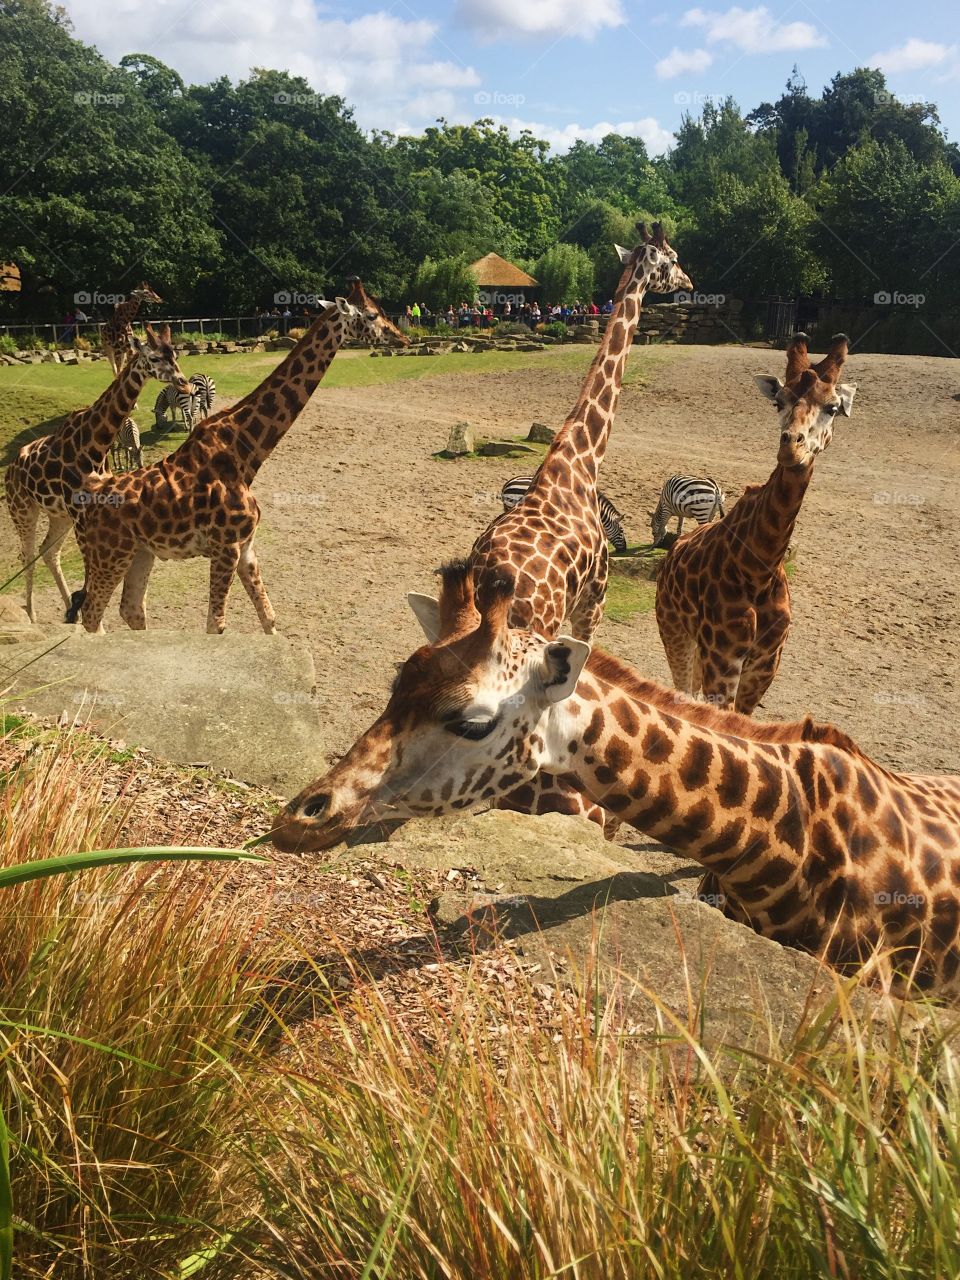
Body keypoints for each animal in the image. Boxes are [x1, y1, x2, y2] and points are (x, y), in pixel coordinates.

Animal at [4, 325, 190, 622]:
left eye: (175, 354)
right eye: (153, 358)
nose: (184, 383)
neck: (96, 446)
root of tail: (10, 470)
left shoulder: (92, 507)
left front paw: (82, 613)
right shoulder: (80, 511)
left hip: (58, 515)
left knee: (49, 551)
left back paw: (69, 611)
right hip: (22, 509)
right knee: (27, 555)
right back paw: (32, 615)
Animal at [65, 280, 407, 635]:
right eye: (372, 314)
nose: (403, 338)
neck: (245, 452)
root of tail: (86, 497)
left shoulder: (246, 547)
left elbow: (268, 616)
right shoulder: (226, 547)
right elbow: (216, 624)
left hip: (139, 552)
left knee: (130, 609)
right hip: (109, 553)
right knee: (91, 613)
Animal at [655, 333, 857, 715]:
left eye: (832, 407)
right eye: (779, 401)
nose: (791, 447)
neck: (758, 567)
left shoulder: (766, 664)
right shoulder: (724, 656)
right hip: (674, 628)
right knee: (682, 691)